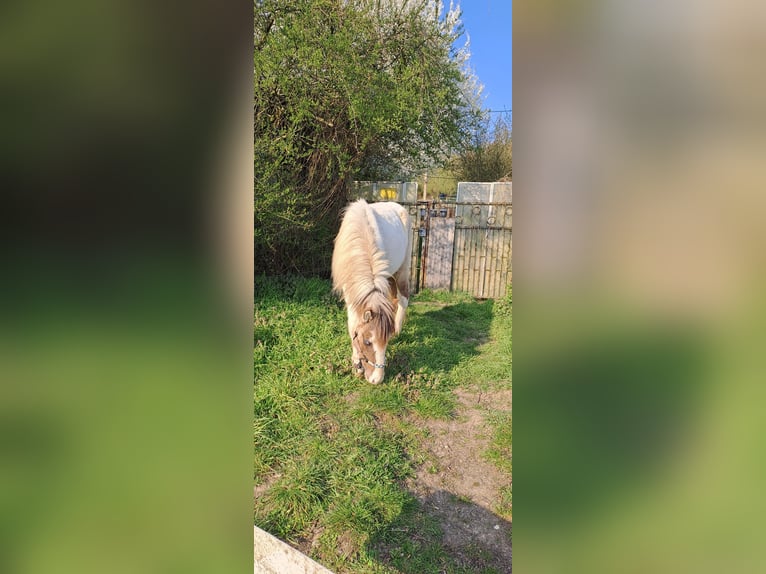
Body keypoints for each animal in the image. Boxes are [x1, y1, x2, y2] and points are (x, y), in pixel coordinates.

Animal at [332, 199, 411, 384]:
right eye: (367, 342)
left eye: (386, 342)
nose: (377, 379)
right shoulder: (351, 294)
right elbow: (352, 326)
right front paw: (356, 365)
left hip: (401, 271)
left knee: (403, 300)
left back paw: (398, 328)